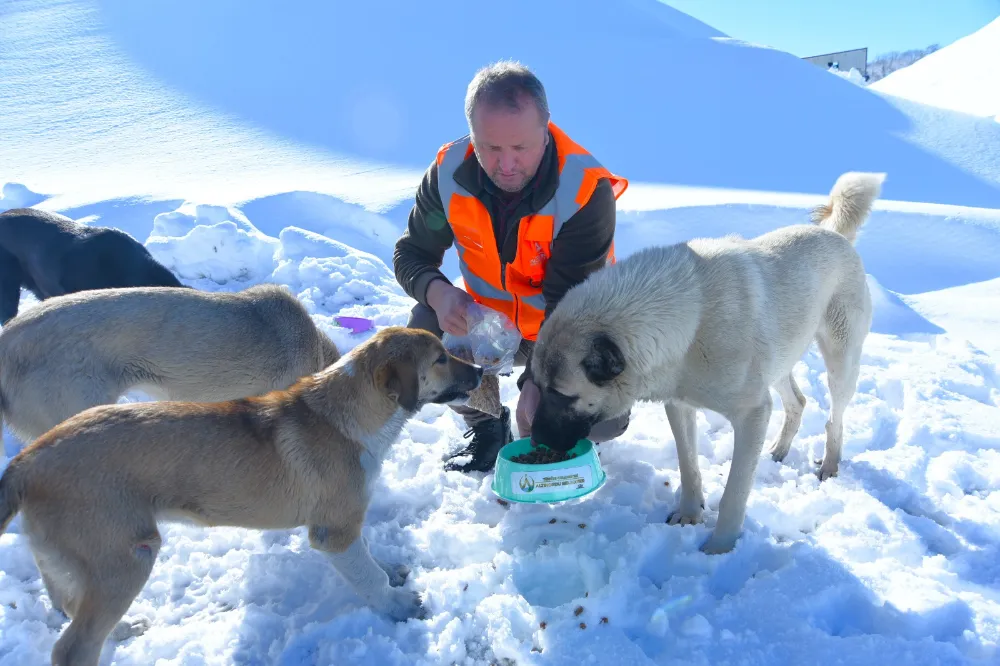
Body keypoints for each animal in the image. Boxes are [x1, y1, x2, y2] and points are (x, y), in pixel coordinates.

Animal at [0, 326, 484, 664]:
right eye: (441, 358)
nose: (482, 371)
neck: (347, 414)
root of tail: (25, 461)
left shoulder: (347, 525)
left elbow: (370, 560)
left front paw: (388, 570)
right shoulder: (333, 531)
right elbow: (368, 577)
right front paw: (396, 605)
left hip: (75, 561)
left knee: (70, 608)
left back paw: (122, 631)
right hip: (125, 557)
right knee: (72, 647)